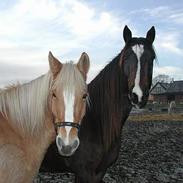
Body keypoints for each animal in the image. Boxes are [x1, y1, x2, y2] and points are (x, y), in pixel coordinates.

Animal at [40, 25, 157, 183]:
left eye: (152, 58)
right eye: (126, 57)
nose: (138, 96)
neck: (96, 121)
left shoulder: (100, 171)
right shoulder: (83, 173)